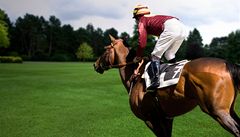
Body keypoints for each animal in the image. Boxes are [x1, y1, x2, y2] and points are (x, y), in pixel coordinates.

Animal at [93, 35, 240, 137]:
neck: (137, 75)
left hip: (218, 111)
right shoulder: (166, 118)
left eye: (106, 49)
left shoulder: (151, 119)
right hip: (229, 110)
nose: (95, 64)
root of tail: (228, 63)